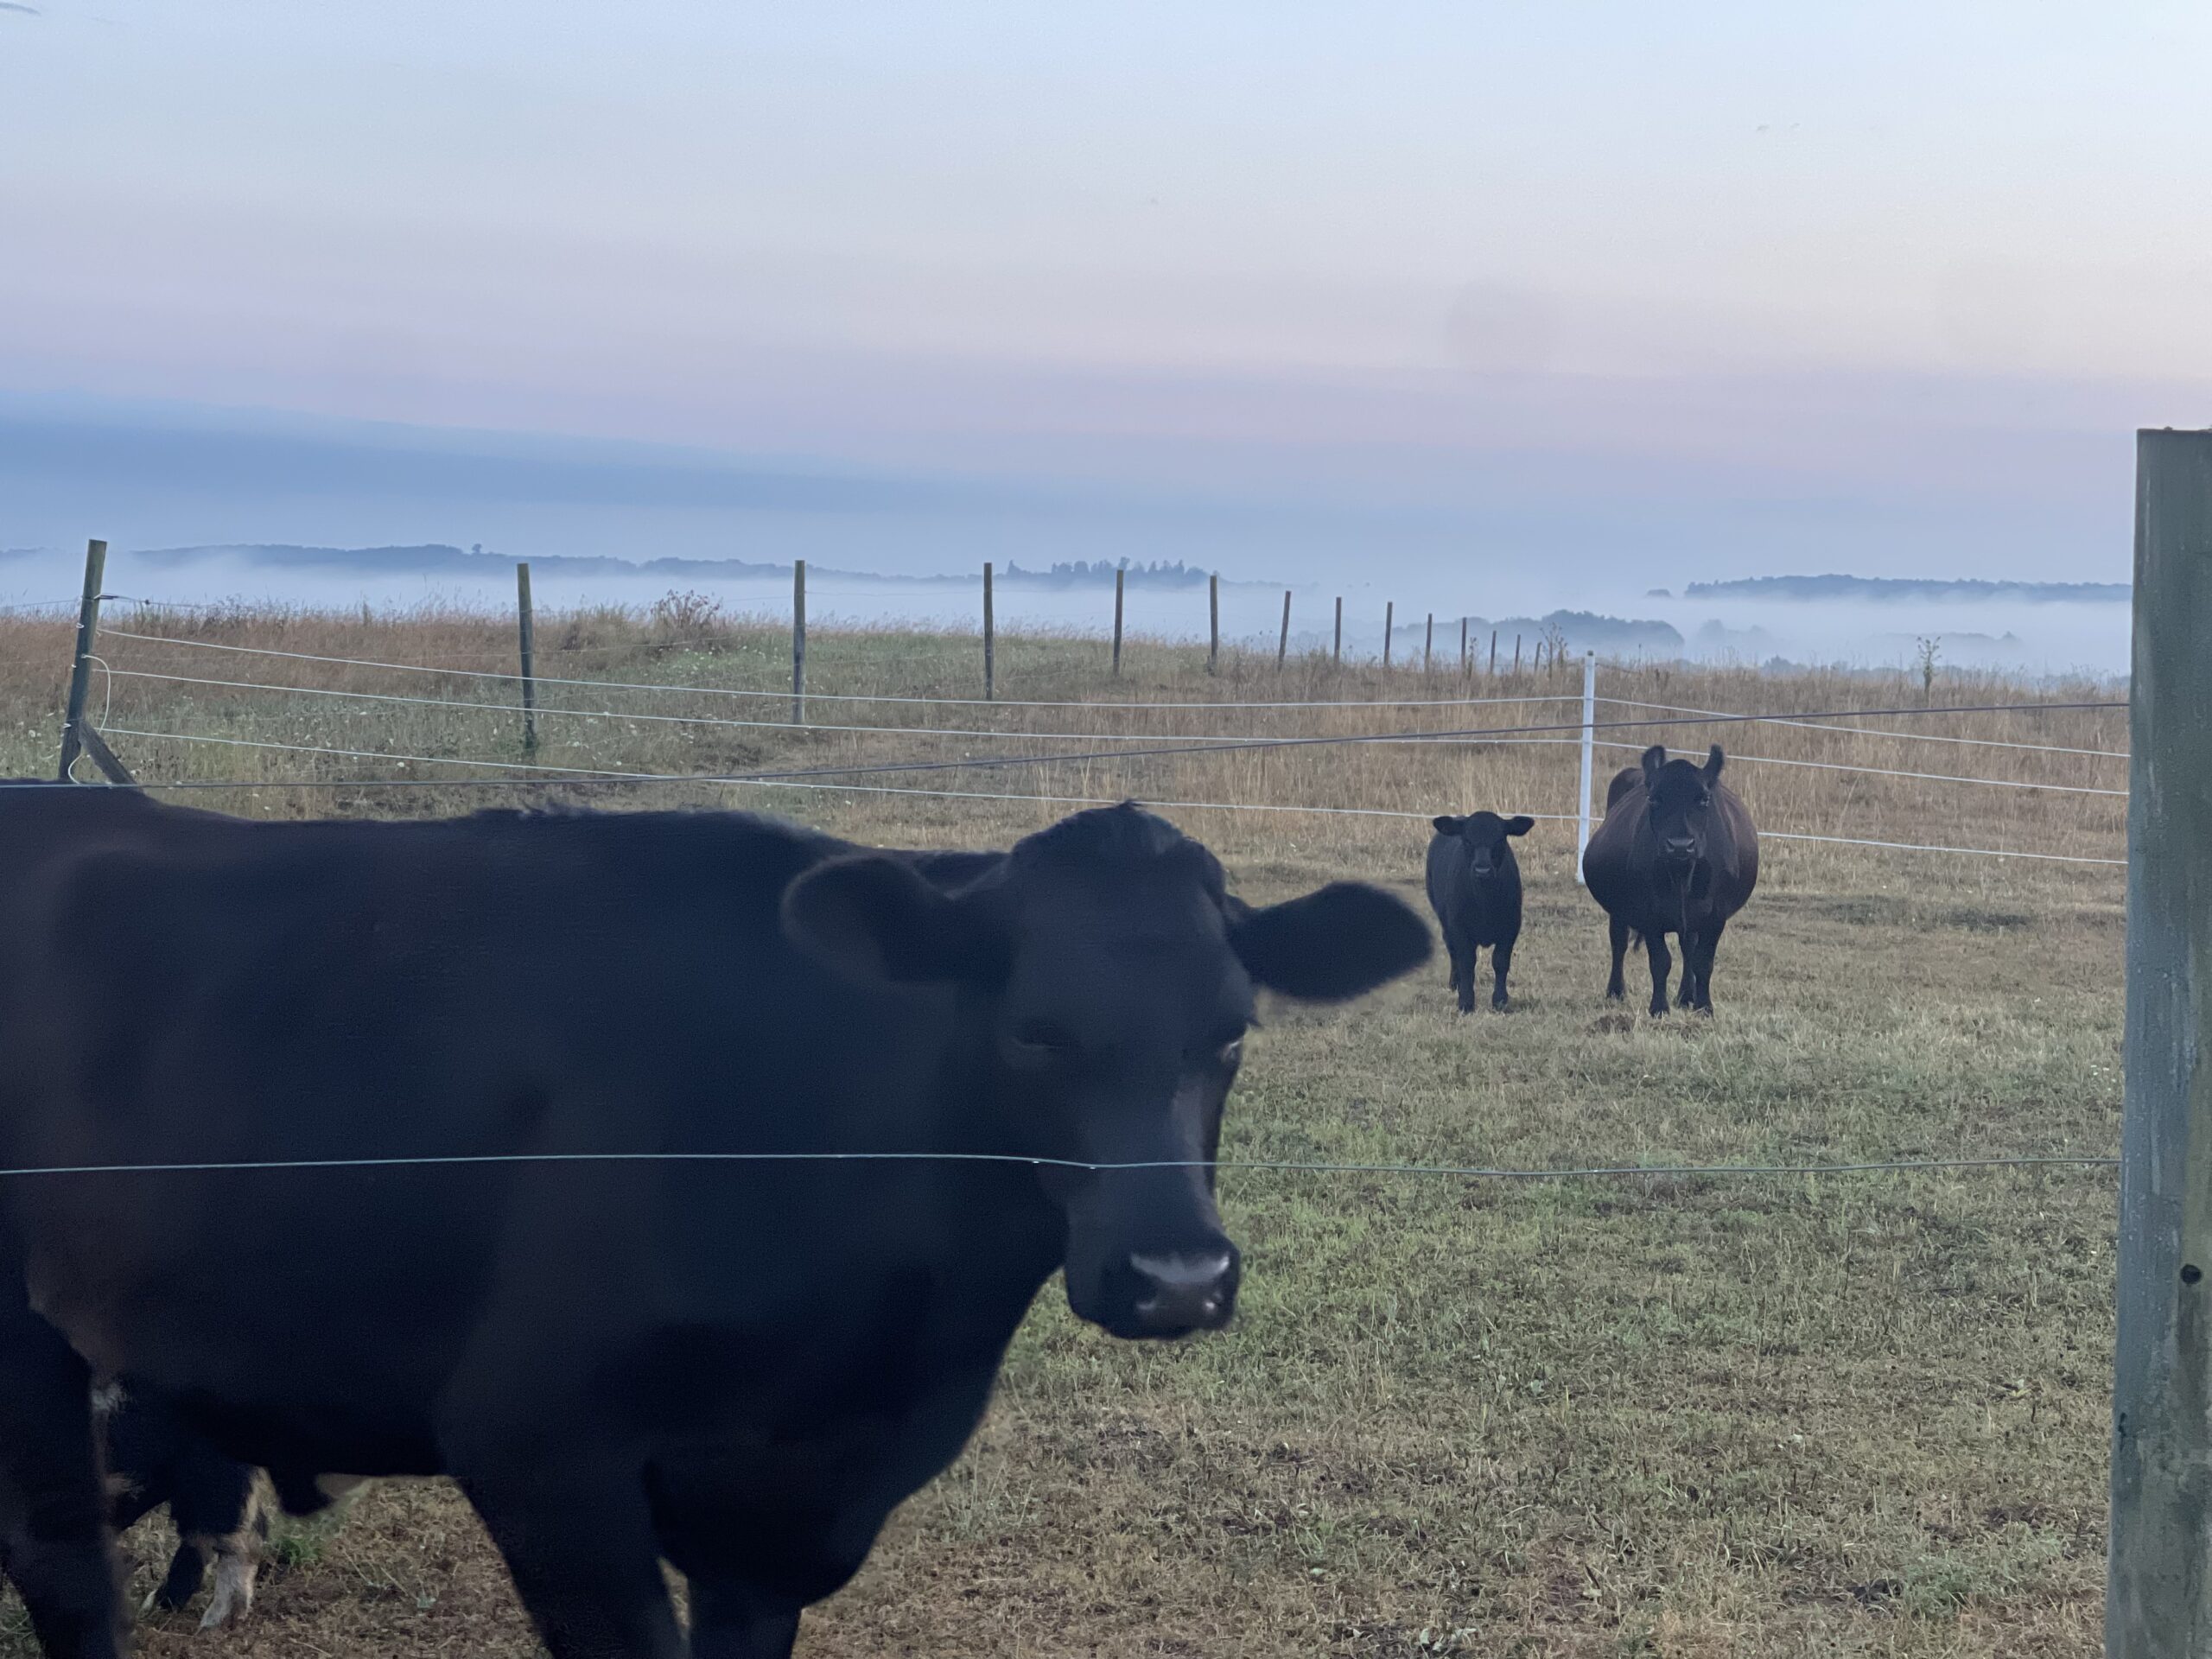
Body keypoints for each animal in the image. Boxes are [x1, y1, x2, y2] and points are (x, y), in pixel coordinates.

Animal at [0, 790, 1428, 1659]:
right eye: (1032, 1031)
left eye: (1233, 1030)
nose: (1178, 1276)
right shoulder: (540, 1451)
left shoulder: (780, 1518)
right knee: (63, 1564)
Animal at [1424, 811, 1534, 1013]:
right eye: (1467, 840)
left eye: (1500, 839)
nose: (1482, 870)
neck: (1485, 902)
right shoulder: (1459, 928)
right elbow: (1467, 961)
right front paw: (1466, 1002)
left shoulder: (1511, 928)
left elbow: (1500, 961)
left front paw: (1500, 1001)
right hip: (1445, 922)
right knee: (1453, 952)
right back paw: (1455, 984)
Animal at [1580, 744, 1759, 1016]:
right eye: (1653, 799)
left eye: (1704, 799)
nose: (1680, 845)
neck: (1682, 875)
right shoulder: (1649, 914)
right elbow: (1660, 961)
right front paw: (1659, 1008)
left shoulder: (1716, 916)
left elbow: (1703, 961)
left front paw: (1704, 1007)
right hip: (1619, 911)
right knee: (1618, 942)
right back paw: (1616, 992)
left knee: (1688, 948)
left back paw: (1686, 996)